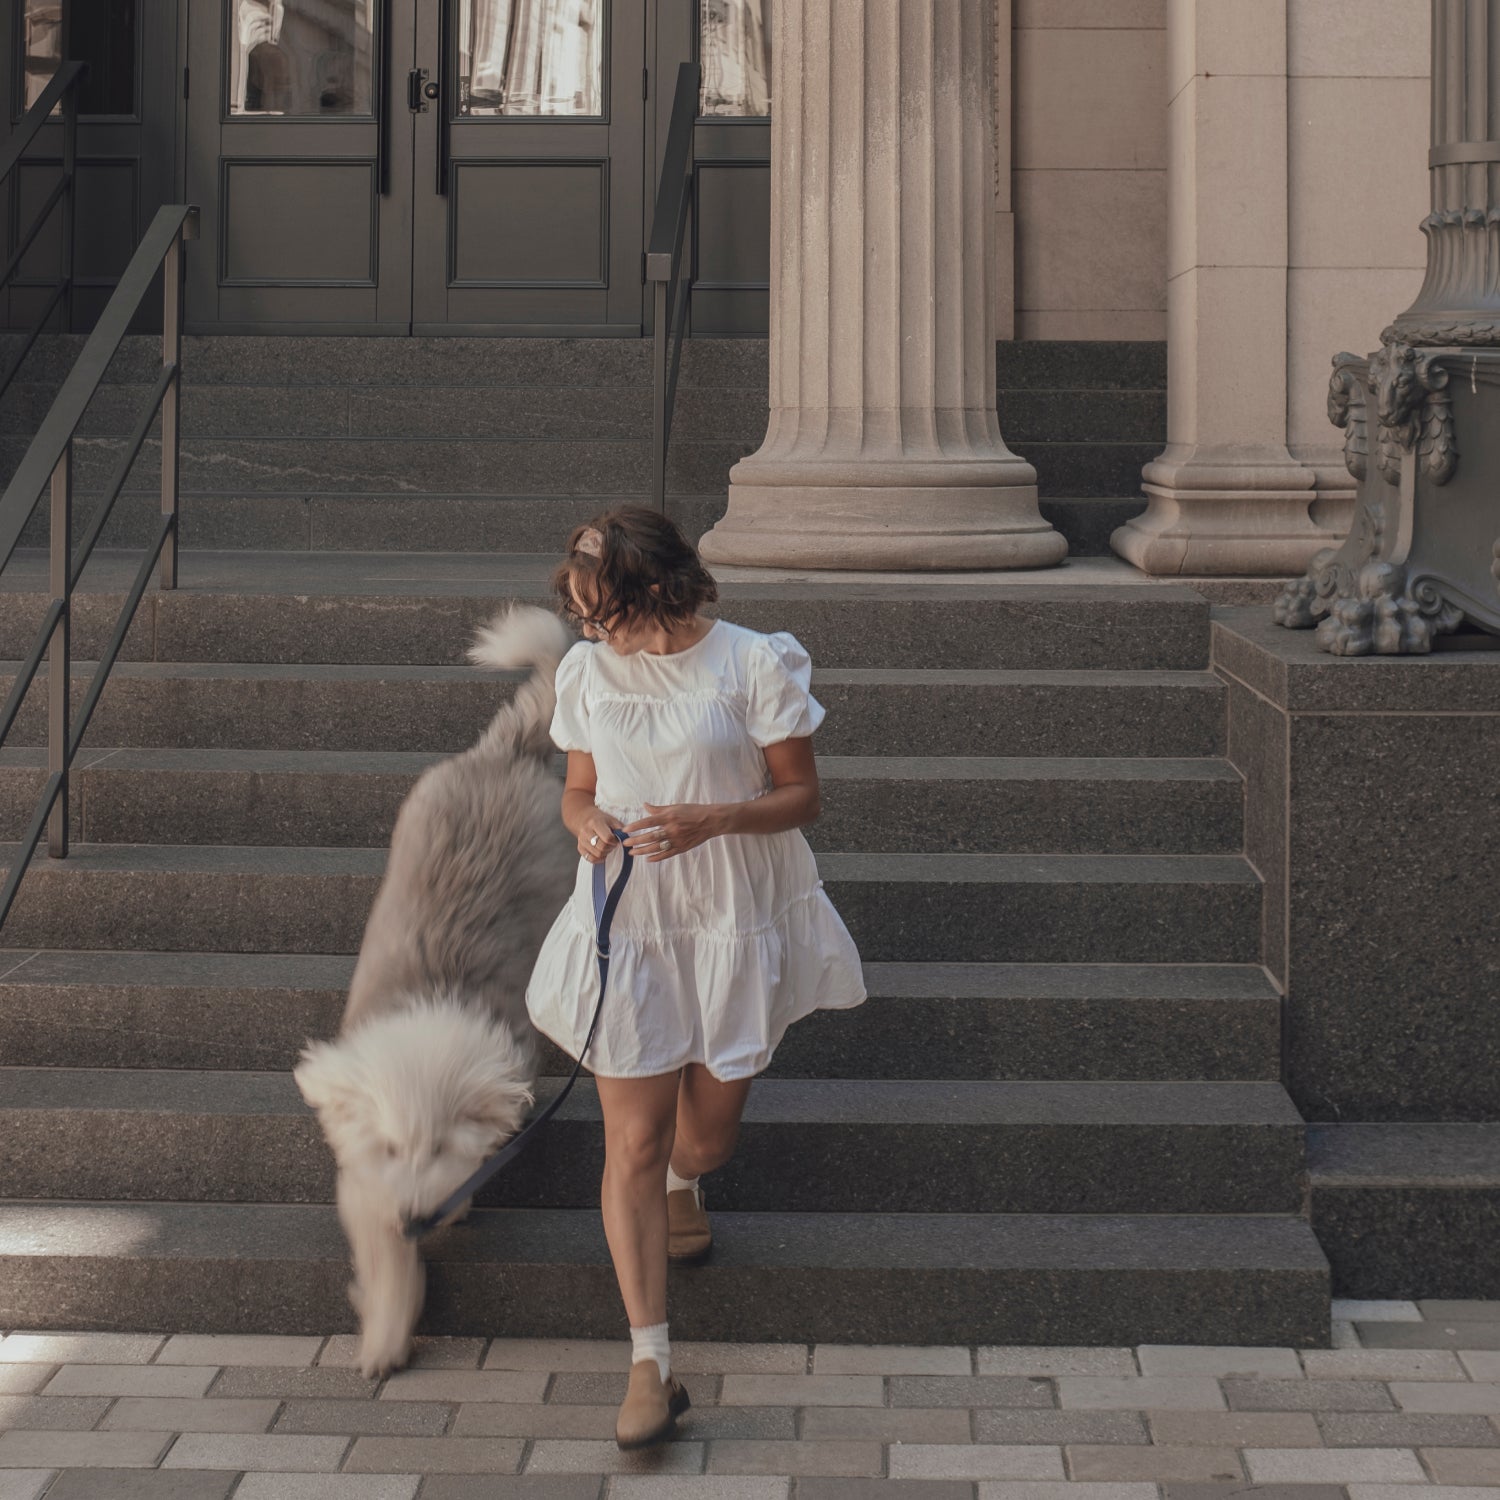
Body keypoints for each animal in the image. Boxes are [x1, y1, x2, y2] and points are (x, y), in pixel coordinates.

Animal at [295, 603, 576, 1374]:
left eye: (444, 1145)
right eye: (393, 1148)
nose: (416, 1215)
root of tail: (507, 752)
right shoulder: (363, 1175)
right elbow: (381, 1250)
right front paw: (385, 1340)